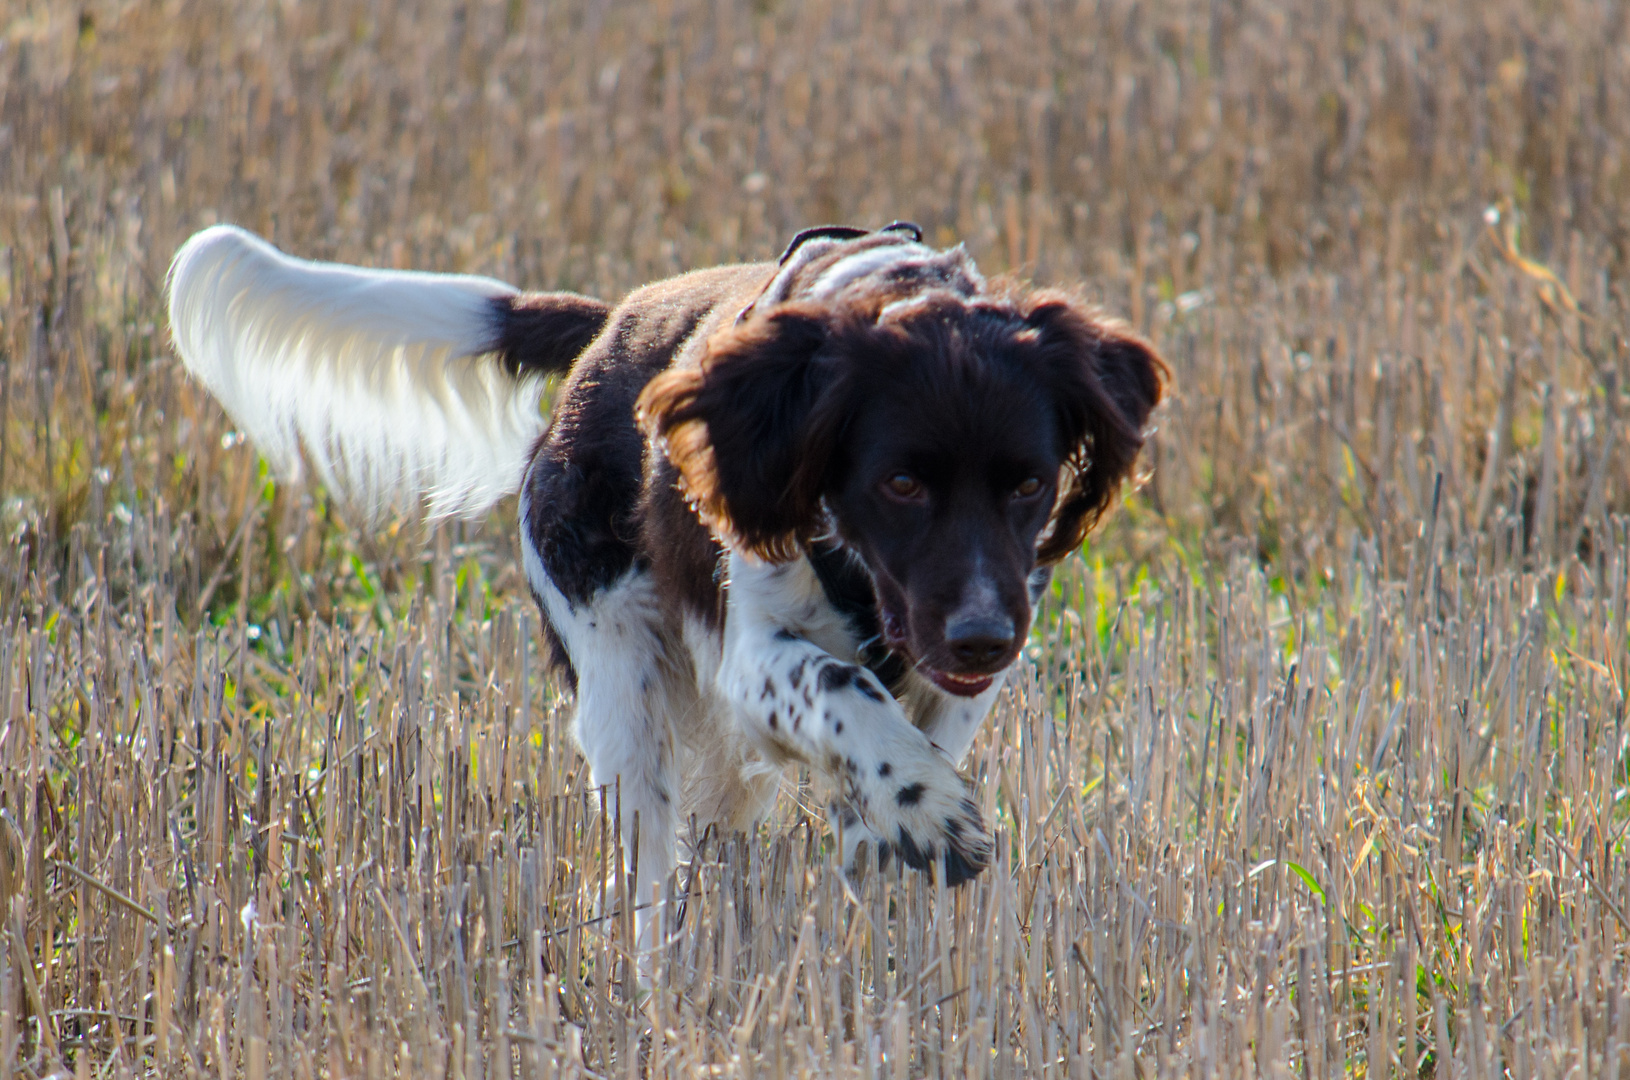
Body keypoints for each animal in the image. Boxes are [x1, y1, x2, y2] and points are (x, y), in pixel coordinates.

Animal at [165, 223, 1167, 944]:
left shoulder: (961, 667)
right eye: (902, 483)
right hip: (622, 687)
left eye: (1029, 484)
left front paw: (892, 838)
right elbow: (841, 684)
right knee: (647, 876)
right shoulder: (754, 654)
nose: (982, 636)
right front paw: (928, 815)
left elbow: (897, 749)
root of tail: (609, 328)